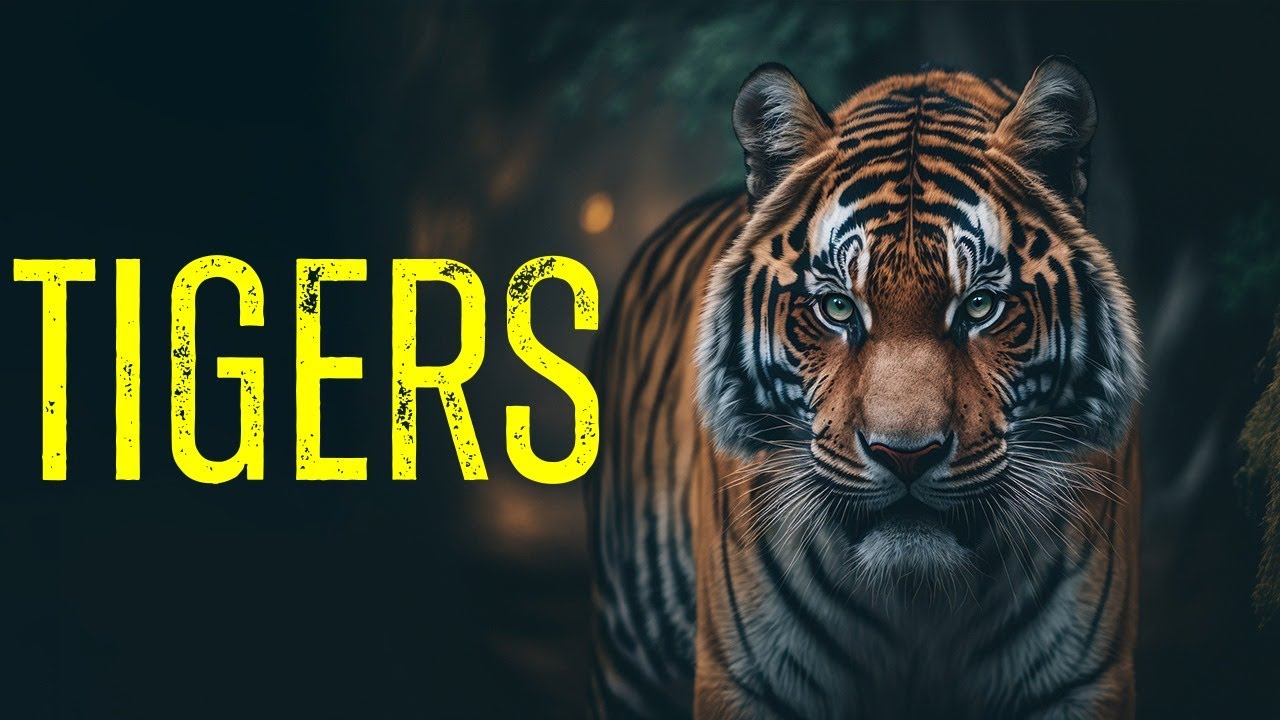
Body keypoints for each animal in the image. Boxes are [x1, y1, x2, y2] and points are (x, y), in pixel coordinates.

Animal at [586, 56, 1144, 719]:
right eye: (837, 308)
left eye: (979, 306)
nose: (906, 456)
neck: (919, 603)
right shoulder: (747, 679)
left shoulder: (1081, 679)